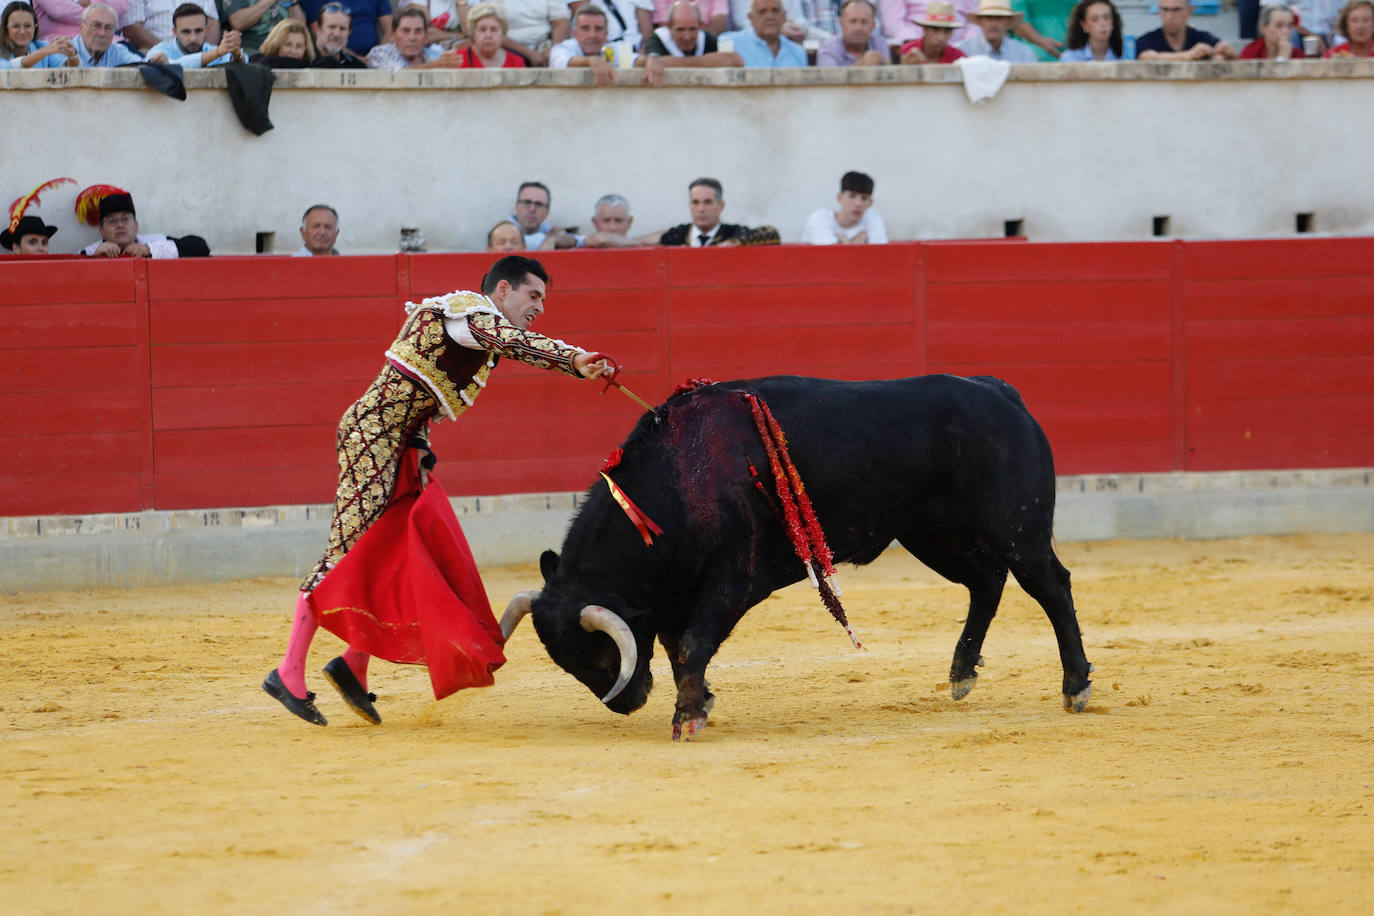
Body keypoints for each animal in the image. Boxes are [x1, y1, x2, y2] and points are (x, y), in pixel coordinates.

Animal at [505, 376, 1093, 741]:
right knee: (986, 580)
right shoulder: (677, 594)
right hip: (929, 534)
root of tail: (999, 391)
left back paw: (1076, 687)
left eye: (602, 656)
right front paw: (700, 702)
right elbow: (679, 649)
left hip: (1017, 530)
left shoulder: (735, 575)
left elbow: (693, 643)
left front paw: (687, 717)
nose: (626, 703)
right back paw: (961, 672)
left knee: (1051, 586)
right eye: (567, 661)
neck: (681, 475)